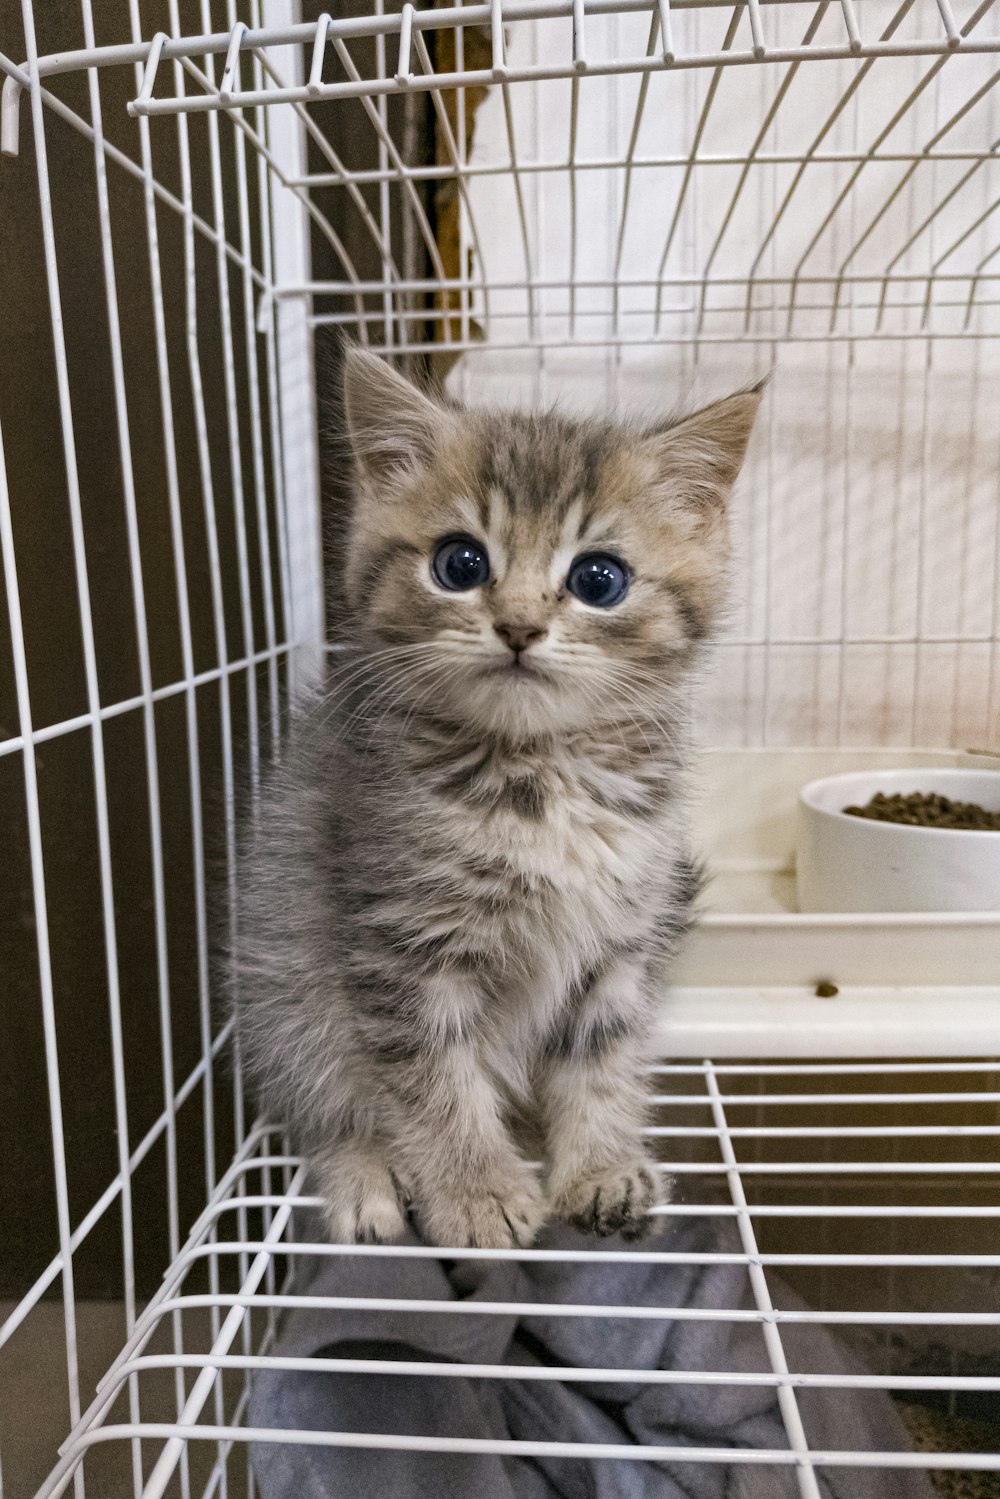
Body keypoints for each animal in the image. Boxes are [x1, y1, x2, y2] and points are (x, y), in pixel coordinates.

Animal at [235, 350, 761, 1253]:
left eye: (598, 579)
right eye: (460, 563)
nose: (518, 626)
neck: (538, 775)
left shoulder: (619, 941)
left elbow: (603, 1056)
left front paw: (599, 1163)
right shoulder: (403, 946)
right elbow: (434, 1077)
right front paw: (474, 1188)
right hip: (285, 987)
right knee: (325, 1100)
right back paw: (364, 1179)